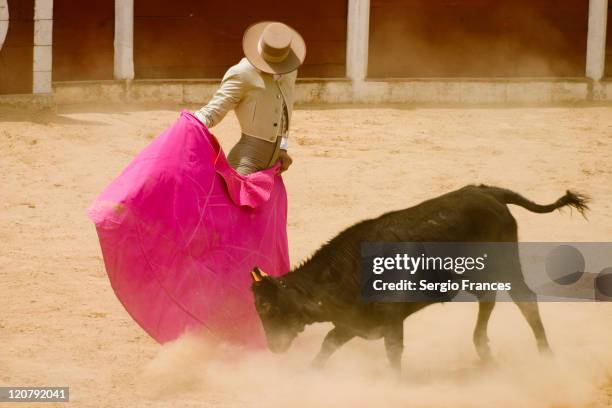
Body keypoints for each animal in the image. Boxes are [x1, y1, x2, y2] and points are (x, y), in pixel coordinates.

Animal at [249, 186, 588, 372]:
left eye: (266, 307)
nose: (273, 347)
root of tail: (486, 191)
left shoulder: (391, 323)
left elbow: (393, 356)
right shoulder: (353, 324)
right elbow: (326, 347)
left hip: (505, 265)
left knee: (525, 300)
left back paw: (545, 356)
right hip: (476, 274)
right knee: (488, 299)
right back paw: (482, 348)